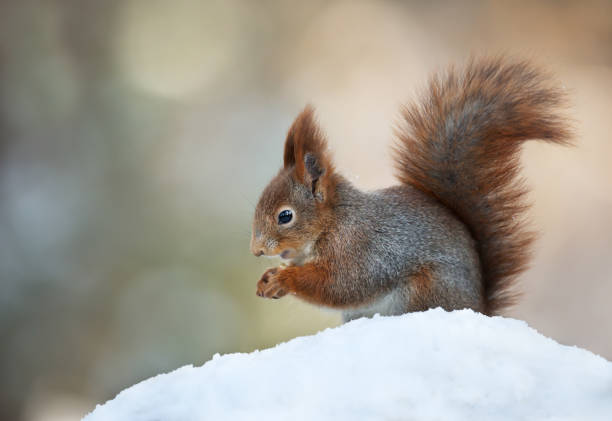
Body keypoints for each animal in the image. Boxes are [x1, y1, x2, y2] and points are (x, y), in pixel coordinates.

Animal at [249, 55, 568, 318]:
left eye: (285, 216)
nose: (256, 250)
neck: (334, 221)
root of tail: (479, 308)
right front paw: (267, 278)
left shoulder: (359, 248)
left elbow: (341, 284)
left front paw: (283, 278)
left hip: (427, 289)